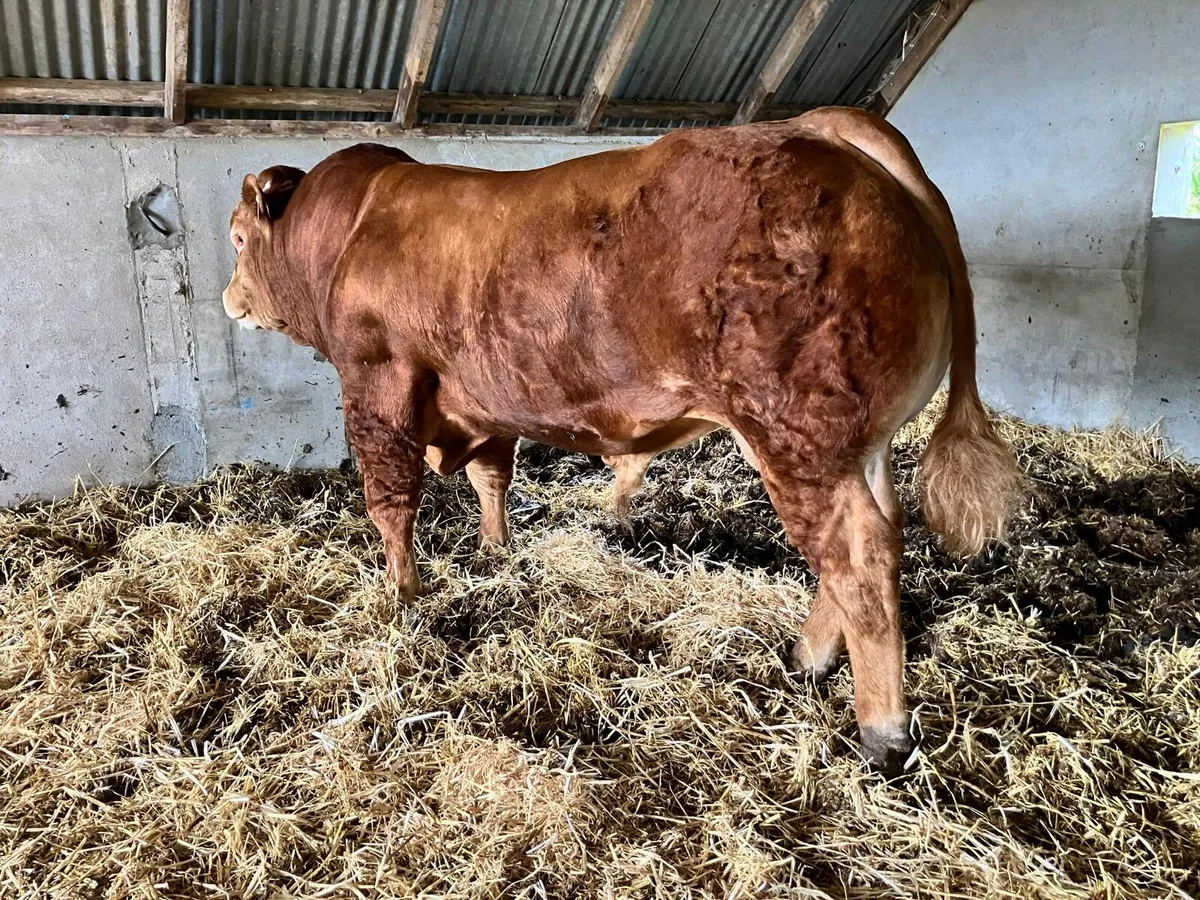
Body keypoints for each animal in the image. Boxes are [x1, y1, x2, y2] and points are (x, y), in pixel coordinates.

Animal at [222, 107, 1023, 774]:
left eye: (234, 239)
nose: (228, 299)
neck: (344, 234)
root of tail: (819, 127)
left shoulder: (376, 384)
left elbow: (390, 501)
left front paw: (402, 597)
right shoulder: (483, 399)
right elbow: (491, 477)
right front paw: (494, 552)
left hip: (796, 437)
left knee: (858, 554)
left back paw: (881, 730)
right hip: (858, 443)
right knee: (874, 535)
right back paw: (807, 658)